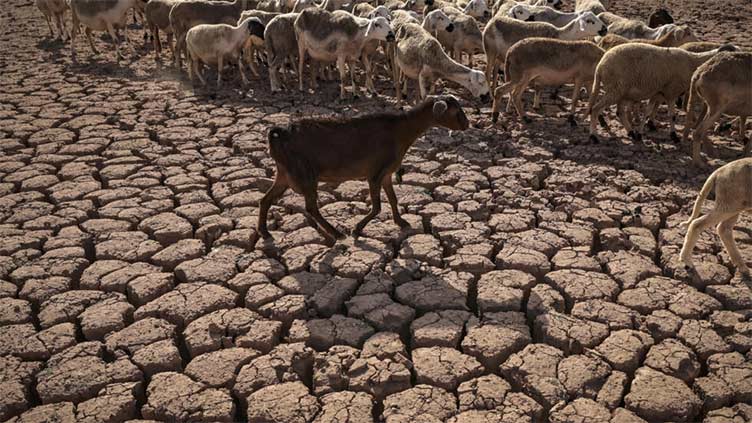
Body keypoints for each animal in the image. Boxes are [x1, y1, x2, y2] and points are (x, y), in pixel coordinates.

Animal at [256, 95, 470, 245]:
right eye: (456, 111)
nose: (468, 124)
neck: (401, 130)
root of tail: (281, 134)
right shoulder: (374, 174)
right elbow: (377, 207)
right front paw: (357, 229)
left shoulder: (386, 173)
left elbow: (393, 199)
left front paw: (401, 222)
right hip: (304, 174)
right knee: (311, 208)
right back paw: (336, 233)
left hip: (284, 173)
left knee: (265, 199)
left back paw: (264, 232)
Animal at [482, 11, 612, 91]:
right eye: (590, 21)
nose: (605, 29)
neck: (559, 34)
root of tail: (491, 22)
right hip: (490, 52)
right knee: (487, 72)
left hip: (499, 56)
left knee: (494, 72)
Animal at [588, 42, 736, 142]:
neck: (693, 62)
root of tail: (600, 66)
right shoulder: (671, 92)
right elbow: (672, 115)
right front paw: (674, 135)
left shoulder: (658, 93)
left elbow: (648, 112)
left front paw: (640, 132)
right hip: (615, 90)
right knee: (595, 109)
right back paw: (594, 136)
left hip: (620, 91)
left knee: (619, 112)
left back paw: (631, 133)